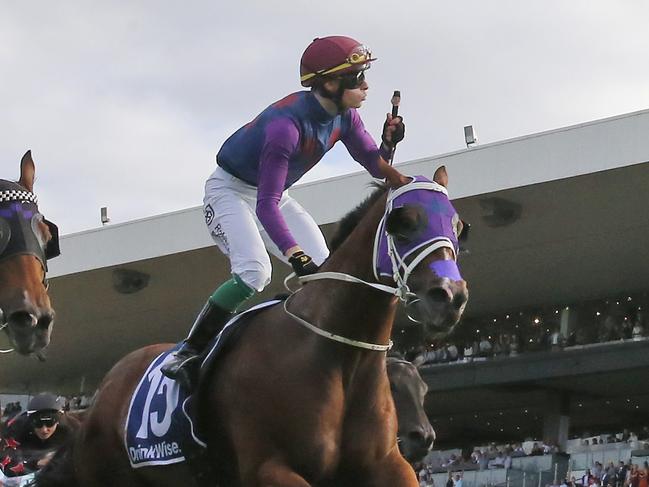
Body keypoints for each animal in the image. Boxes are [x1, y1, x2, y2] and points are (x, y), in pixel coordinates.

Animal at [38, 167, 466, 487]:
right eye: (402, 222)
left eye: (458, 225)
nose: (449, 296)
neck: (336, 356)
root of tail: (104, 388)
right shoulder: (268, 467)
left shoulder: (388, 466)